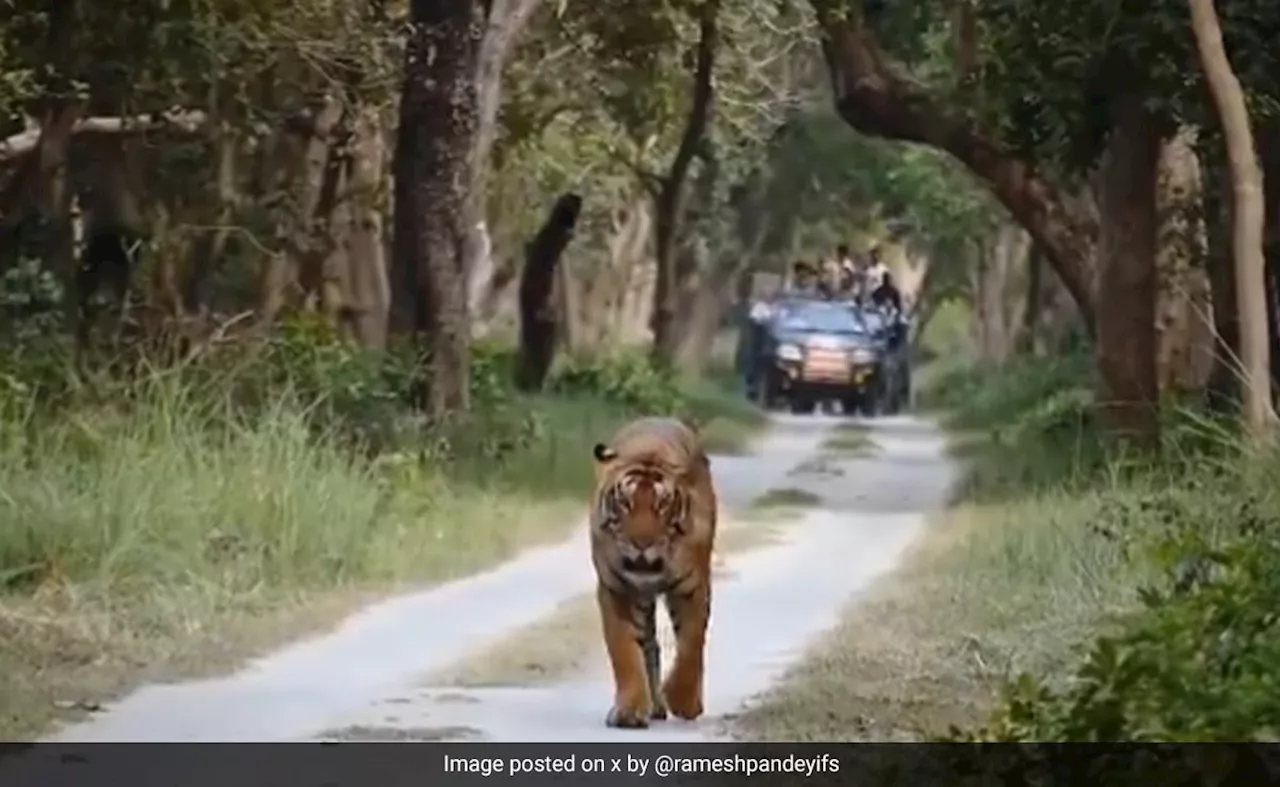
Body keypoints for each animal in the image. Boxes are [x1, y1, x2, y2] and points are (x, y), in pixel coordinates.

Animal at [588, 414, 721, 731]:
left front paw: (684, 702)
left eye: (662, 505)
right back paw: (654, 706)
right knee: (650, 647)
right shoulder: (618, 589)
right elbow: (624, 650)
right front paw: (630, 711)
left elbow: (691, 645)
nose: (642, 543)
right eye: (625, 503)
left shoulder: (692, 588)